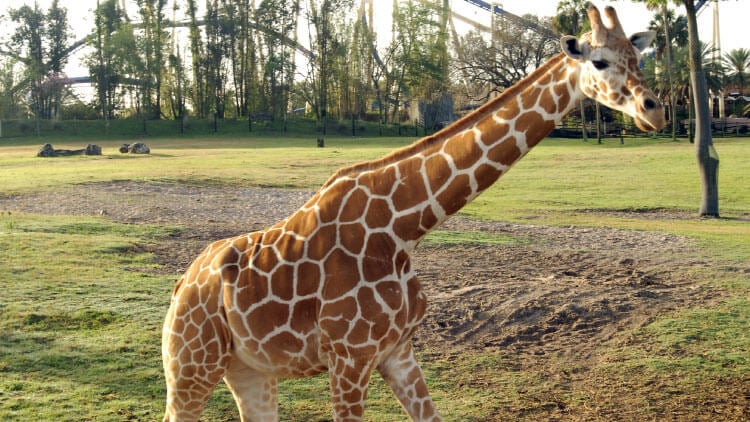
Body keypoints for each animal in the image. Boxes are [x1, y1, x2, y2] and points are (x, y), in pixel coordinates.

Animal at [162, 5, 665, 421]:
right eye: (599, 61)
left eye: (638, 59)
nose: (654, 110)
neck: (403, 228)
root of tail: (182, 283)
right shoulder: (349, 358)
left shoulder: (398, 352)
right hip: (190, 367)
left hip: (249, 371)